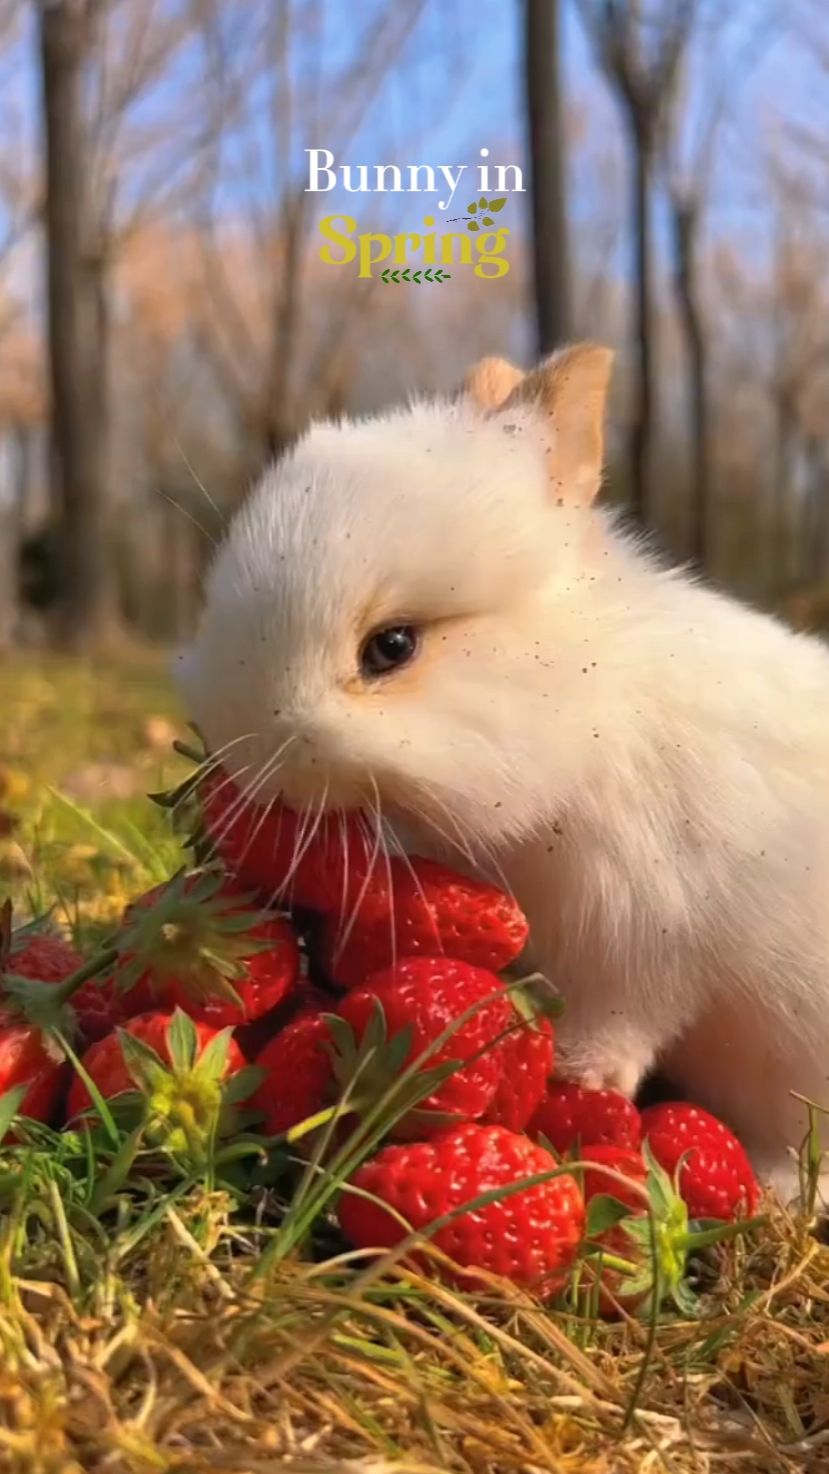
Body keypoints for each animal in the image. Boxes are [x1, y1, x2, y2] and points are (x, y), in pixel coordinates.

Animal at [178, 342, 829, 1205]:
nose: (240, 747)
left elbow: (623, 1022)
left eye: (391, 647)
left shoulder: (642, 935)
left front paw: (579, 1082)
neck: (587, 718)